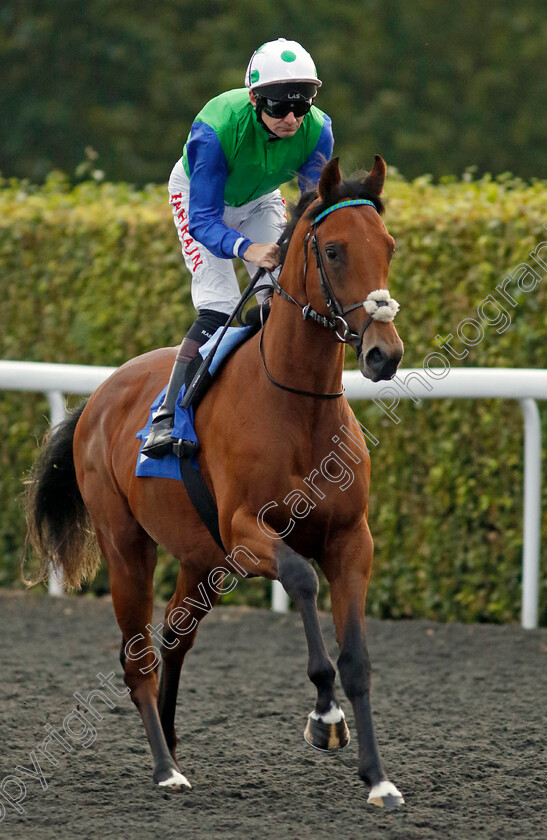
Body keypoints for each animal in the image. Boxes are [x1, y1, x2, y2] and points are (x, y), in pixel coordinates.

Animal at [27, 156, 408, 808]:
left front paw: (378, 778)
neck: (296, 407)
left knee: (172, 639)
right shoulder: (243, 533)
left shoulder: (351, 540)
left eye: (387, 246)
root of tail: (100, 394)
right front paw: (325, 717)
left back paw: (174, 745)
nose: (385, 354)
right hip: (127, 546)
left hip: (201, 561)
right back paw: (165, 768)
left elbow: (357, 658)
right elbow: (301, 579)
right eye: (333, 251)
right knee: (137, 657)